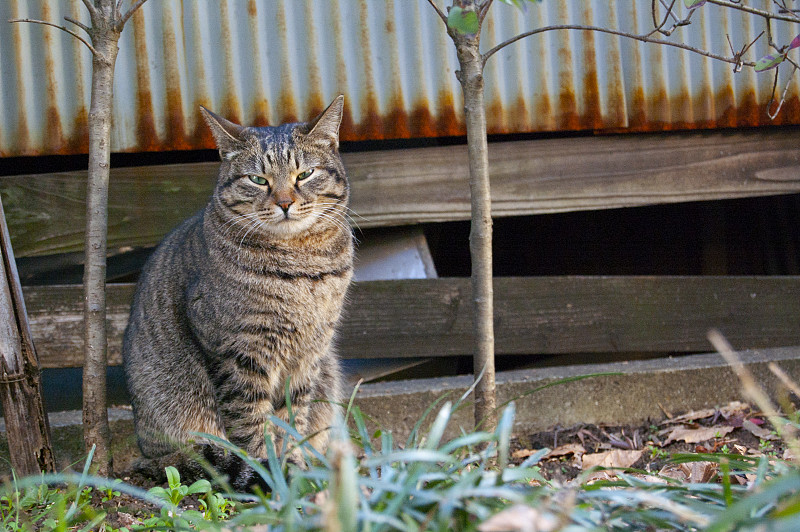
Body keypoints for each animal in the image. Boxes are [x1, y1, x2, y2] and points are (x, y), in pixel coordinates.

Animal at [122, 96, 354, 490]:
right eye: (258, 179)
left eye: (304, 174)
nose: (285, 202)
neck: (301, 264)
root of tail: (144, 450)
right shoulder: (238, 353)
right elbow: (251, 425)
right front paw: (271, 476)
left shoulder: (308, 356)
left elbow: (292, 420)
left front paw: (293, 469)